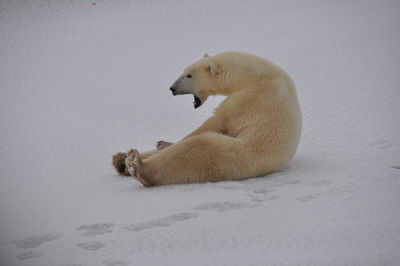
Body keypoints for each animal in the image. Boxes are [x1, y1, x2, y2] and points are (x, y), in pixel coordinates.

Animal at [111, 51, 300, 186]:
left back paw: (137, 165)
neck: (254, 75)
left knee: (196, 149)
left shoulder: (253, 97)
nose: (172, 88)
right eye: (184, 71)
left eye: (189, 75)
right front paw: (160, 143)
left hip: (235, 156)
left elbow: (219, 120)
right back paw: (121, 160)